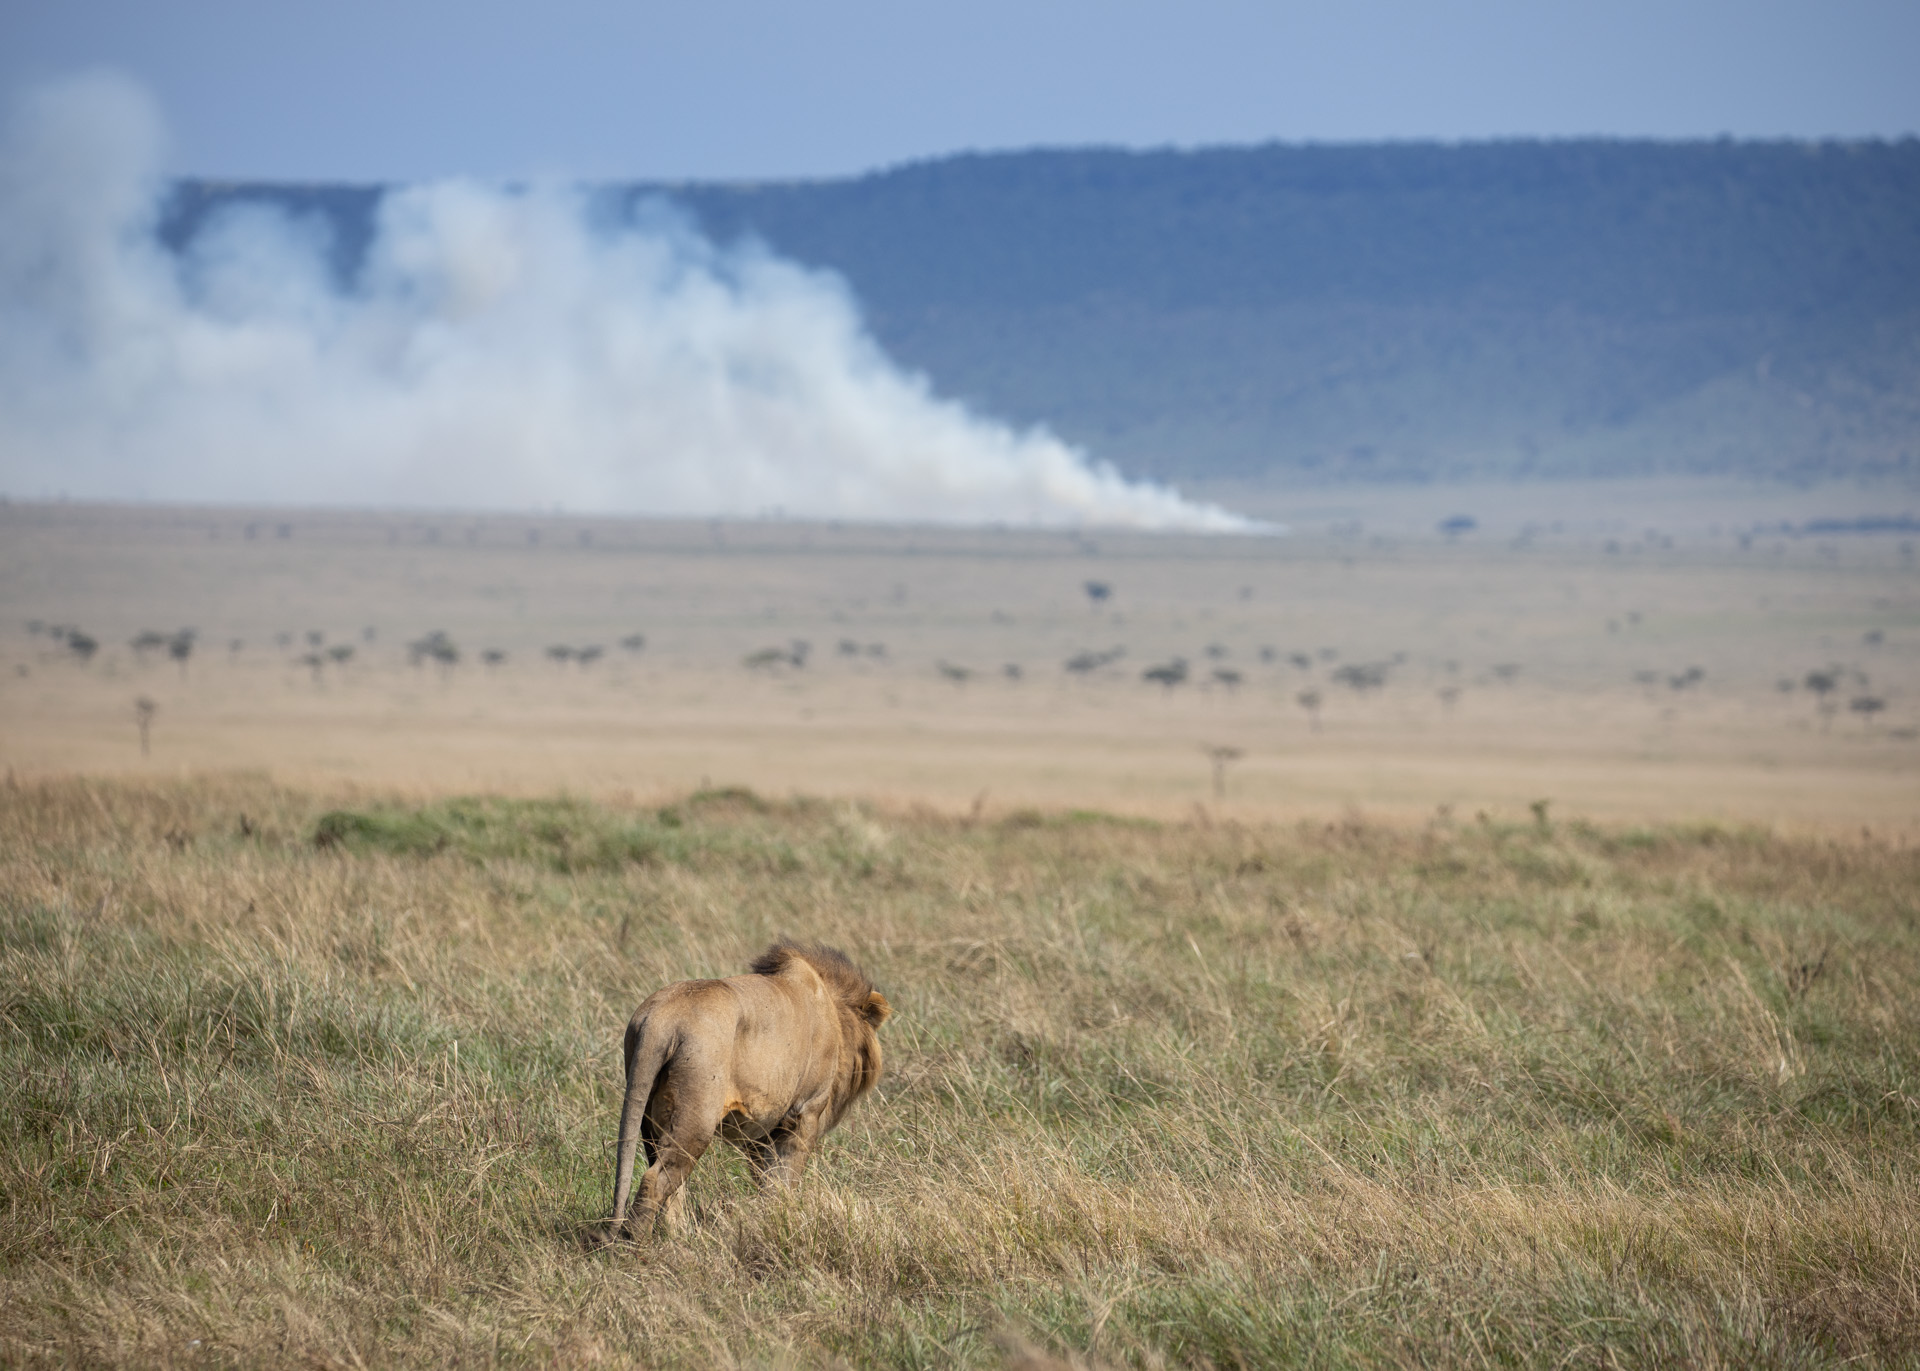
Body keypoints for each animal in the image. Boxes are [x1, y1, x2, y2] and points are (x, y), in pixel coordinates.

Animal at [606, 940, 890, 1236]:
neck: (833, 1012)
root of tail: (659, 1020)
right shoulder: (804, 1112)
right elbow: (785, 1179)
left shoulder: (764, 1130)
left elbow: (766, 1181)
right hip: (695, 1118)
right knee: (655, 1180)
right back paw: (639, 1242)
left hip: (650, 1117)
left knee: (671, 1187)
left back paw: (681, 1237)